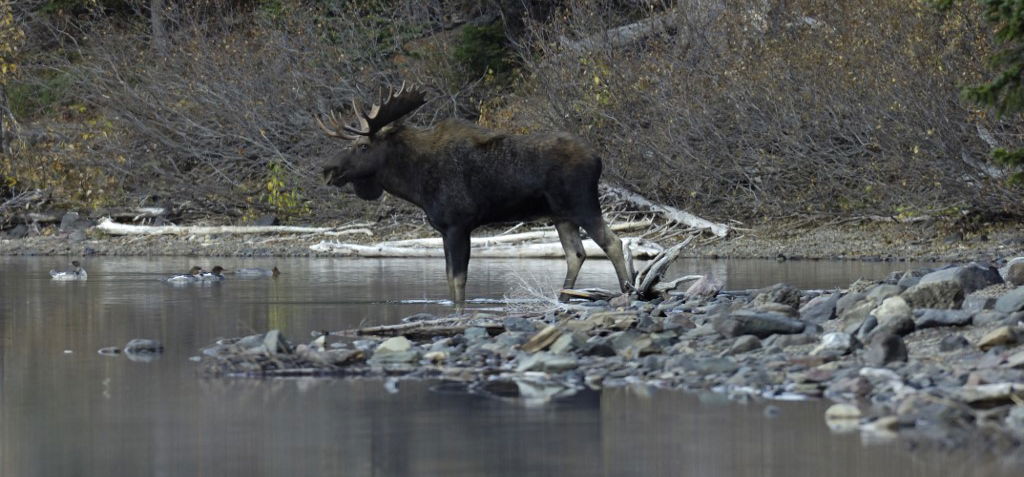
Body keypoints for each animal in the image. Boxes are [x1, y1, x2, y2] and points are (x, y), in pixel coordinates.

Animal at [321, 82, 630, 305]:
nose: (328, 169)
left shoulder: (458, 224)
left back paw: (627, 290)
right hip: (560, 215)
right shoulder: (445, 229)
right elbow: (449, 278)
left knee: (613, 242)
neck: (415, 183)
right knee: (576, 254)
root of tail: (598, 159)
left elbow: (458, 280)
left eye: (362, 147)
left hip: (583, 204)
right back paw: (563, 299)